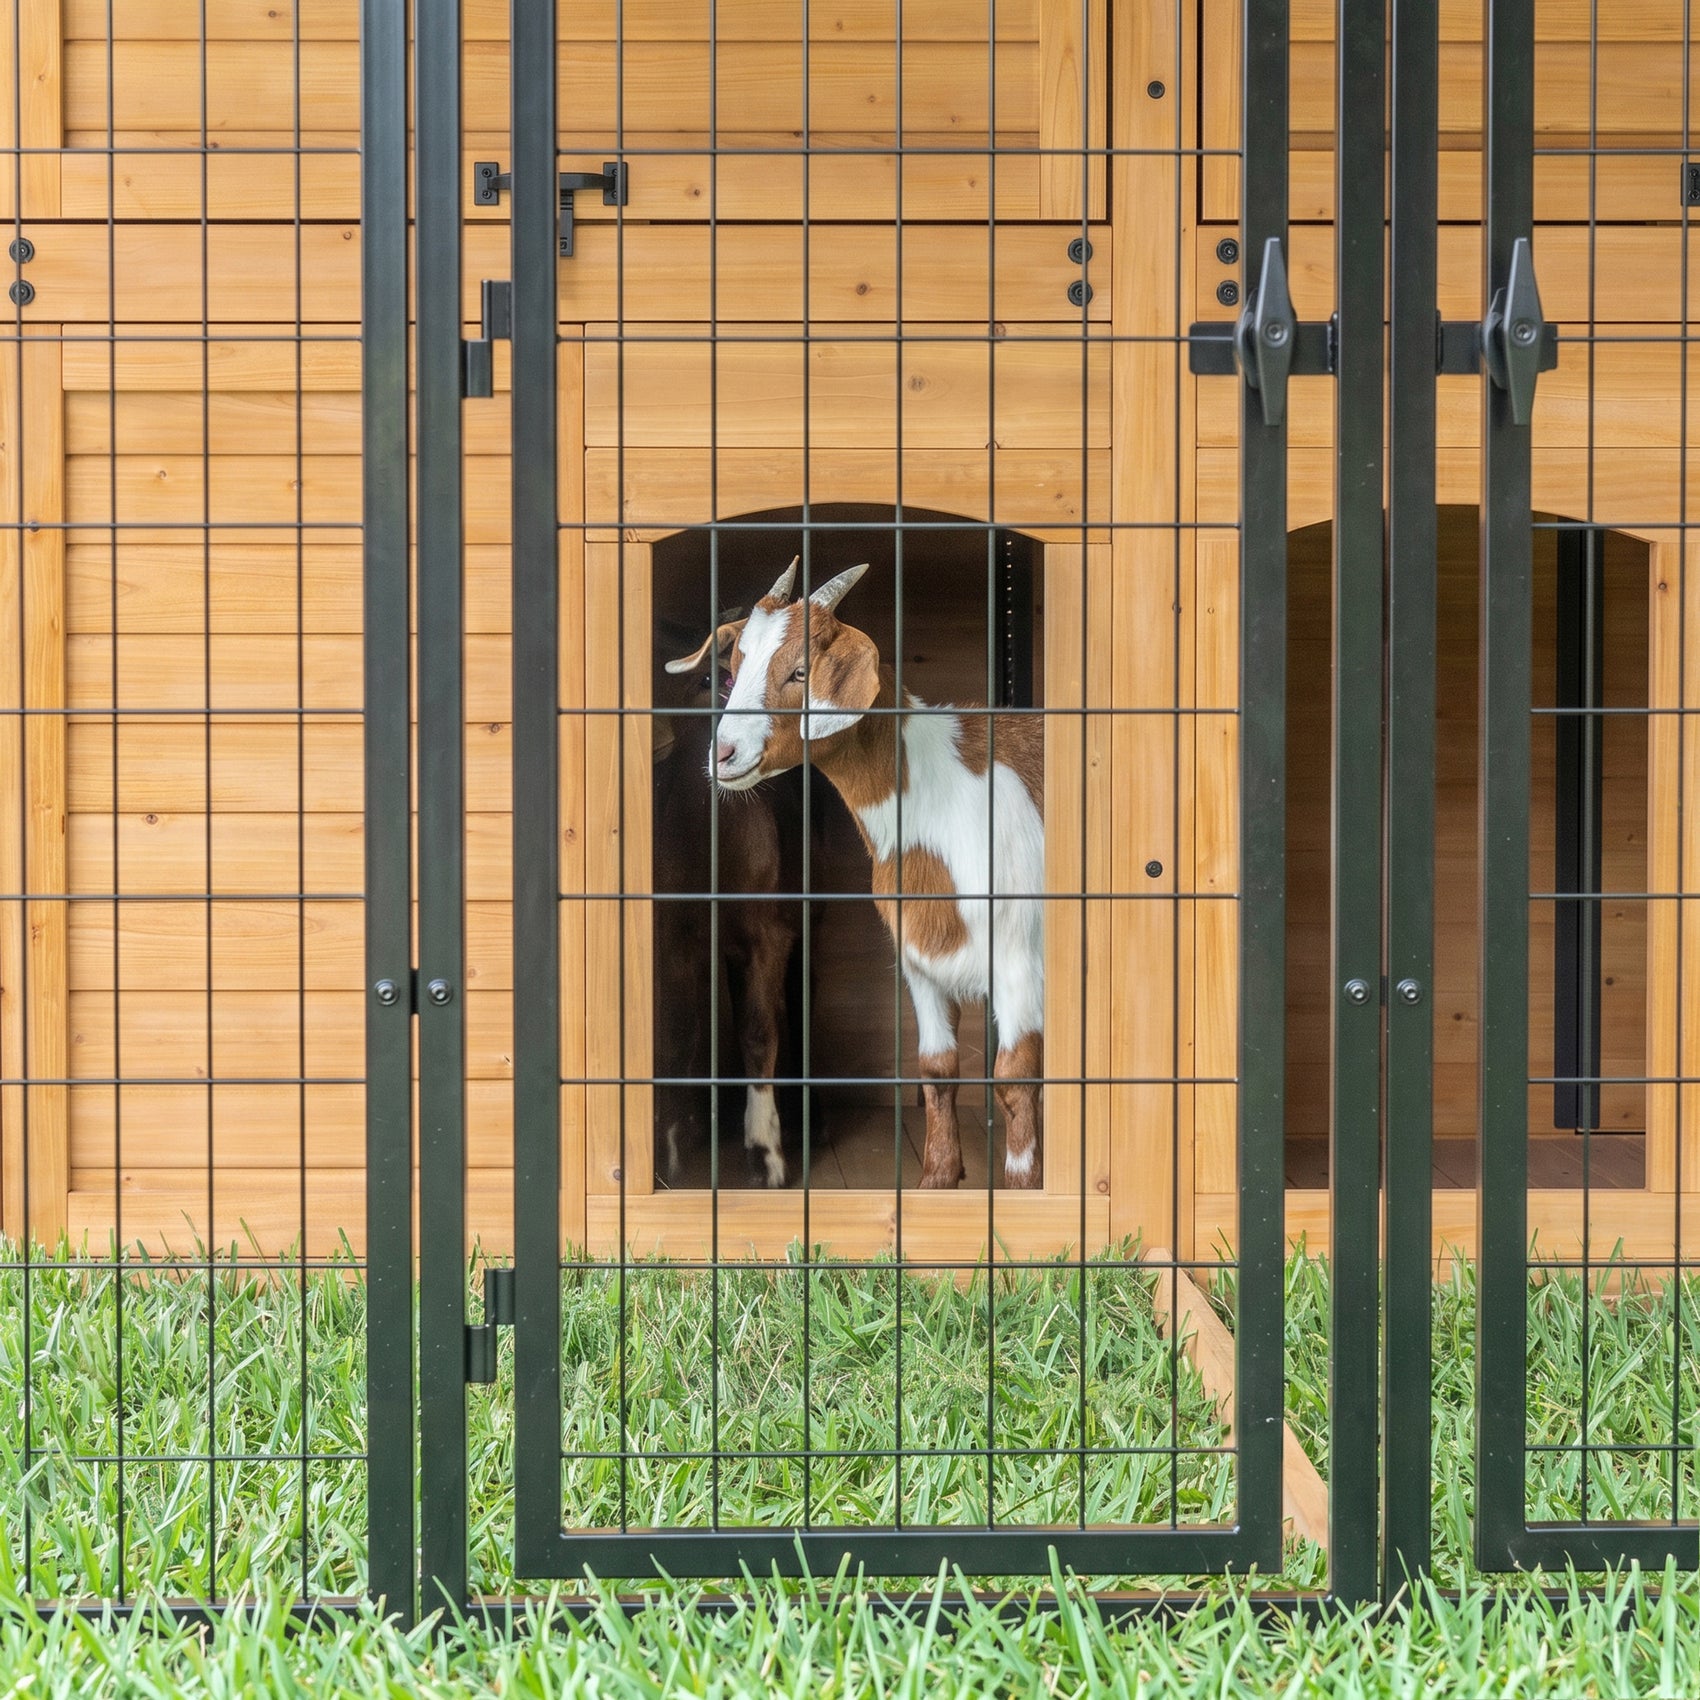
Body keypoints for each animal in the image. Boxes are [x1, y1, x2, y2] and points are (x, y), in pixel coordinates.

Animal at [682, 558, 1044, 1190]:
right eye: (734, 666)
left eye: (801, 671)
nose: (723, 754)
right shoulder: (919, 959)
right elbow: (937, 1070)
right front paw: (936, 1182)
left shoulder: (1018, 953)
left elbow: (1015, 1080)